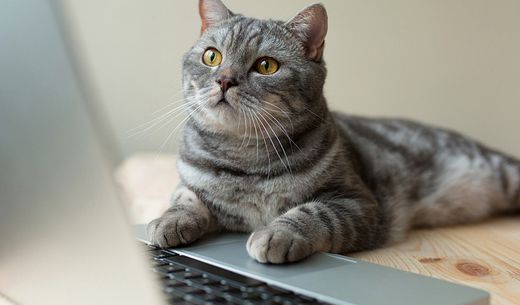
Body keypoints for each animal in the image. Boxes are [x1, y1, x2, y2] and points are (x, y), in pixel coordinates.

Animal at [147, 0, 520, 262]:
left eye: (266, 65)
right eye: (212, 57)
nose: (224, 79)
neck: (245, 158)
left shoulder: (358, 202)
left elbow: (313, 212)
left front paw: (277, 234)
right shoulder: (189, 183)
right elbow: (185, 197)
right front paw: (169, 220)